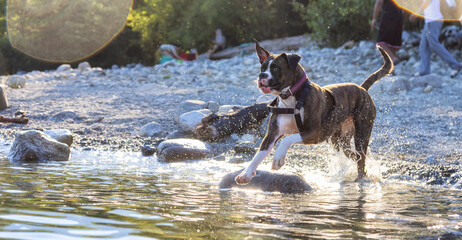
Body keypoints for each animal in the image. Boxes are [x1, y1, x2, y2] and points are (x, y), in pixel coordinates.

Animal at [235, 41, 394, 185]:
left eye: (275, 68)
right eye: (262, 67)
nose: (262, 75)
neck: (292, 97)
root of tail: (362, 89)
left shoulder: (313, 133)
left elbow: (287, 139)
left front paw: (278, 158)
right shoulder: (272, 135)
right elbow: (259, 154)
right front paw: (246, 174)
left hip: (362, 133)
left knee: (361, 157)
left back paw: (360, 179)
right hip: (341, 140)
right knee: (355, 156)